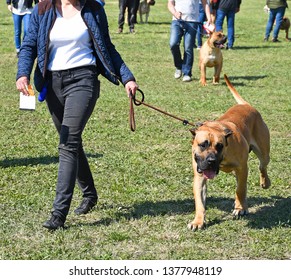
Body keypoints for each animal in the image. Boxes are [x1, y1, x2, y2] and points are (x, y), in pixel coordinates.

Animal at [189, 74, 272, 230]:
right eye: (203, 145)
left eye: (220, 146)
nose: (211, 161)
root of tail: (246, 105)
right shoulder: (200, 175)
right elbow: (200, 202)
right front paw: (198, 221)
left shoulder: (243, 167)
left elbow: (240, 190)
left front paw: (241, 209)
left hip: (263, 153)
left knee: (261, 166)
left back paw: (265, 183)